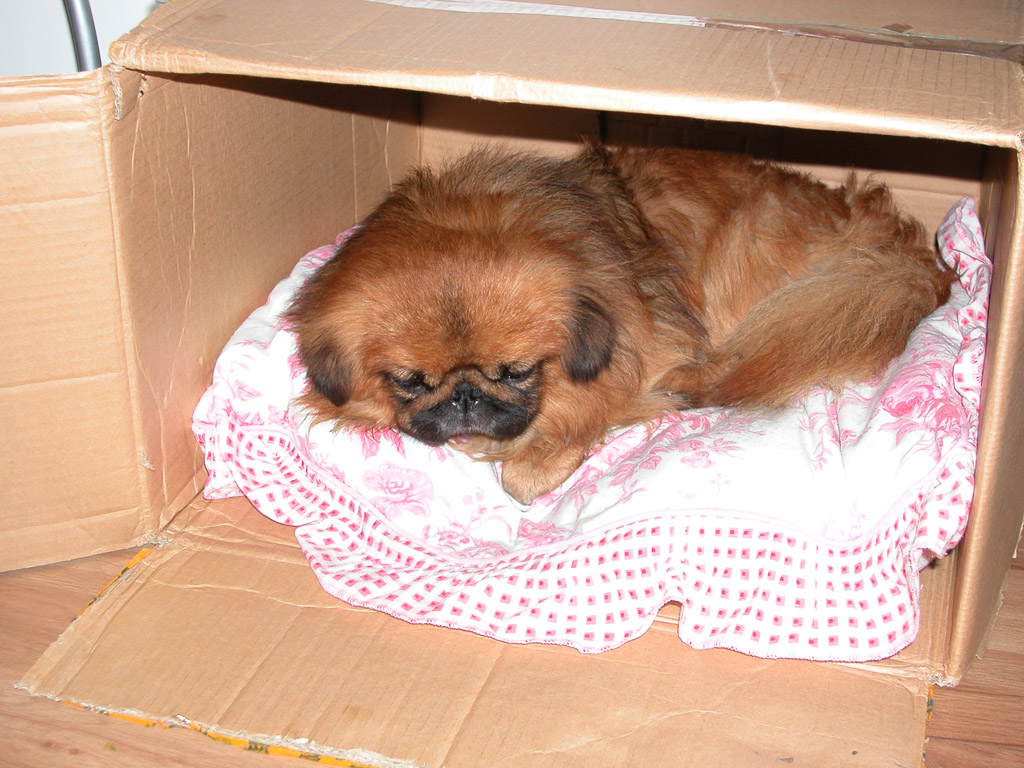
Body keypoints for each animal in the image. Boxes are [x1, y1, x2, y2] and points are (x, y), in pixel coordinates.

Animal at [286, 143, 954, 504]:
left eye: (517, 372)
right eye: (410, 382)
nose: (466, 398)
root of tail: (897, 246)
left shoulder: (645, 352)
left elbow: (586, 413)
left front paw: (532, 465)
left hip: (745, 258)